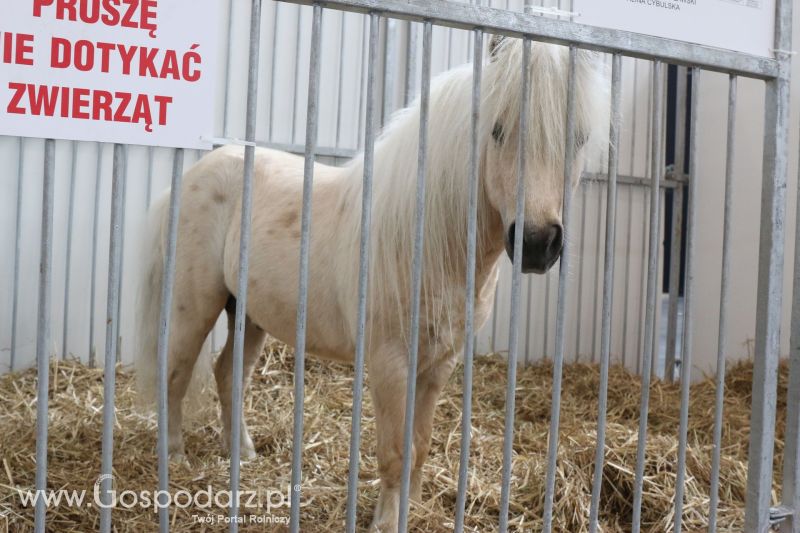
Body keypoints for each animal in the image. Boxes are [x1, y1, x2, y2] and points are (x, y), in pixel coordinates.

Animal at [134, 35, 608, 528]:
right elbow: (396, 450)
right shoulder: (390, 361)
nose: (536, 243)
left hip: (248, 313)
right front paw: (386, 520)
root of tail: (191, 177)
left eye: (578, 139)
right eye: (497, 131)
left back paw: (242, 454)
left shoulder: (439, 364)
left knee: (229, 373)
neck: (429, 238)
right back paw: (176, 459)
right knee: (175, 373)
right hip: (195, 304)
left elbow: (420, 445)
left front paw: (412, 507)